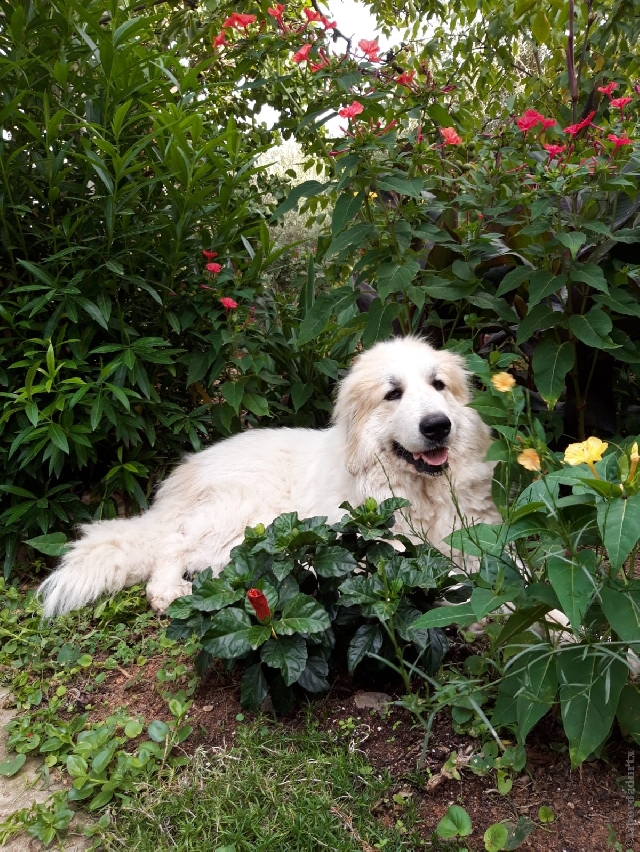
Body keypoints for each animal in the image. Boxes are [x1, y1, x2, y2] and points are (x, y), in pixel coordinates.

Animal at [38, 338, 500, 620]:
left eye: (438, 385)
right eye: (393, 394)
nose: (438, 426)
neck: (418, 493)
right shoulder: (376, 550)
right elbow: (451, 578)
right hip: (240, 509)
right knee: (171, 547)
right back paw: (169, 593)